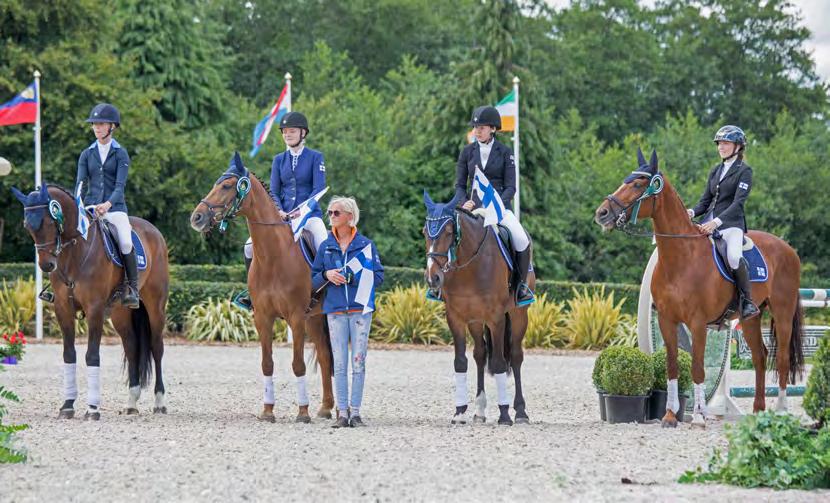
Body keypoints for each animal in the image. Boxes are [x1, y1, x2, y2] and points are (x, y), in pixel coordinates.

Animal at [11, 183, 169, 420]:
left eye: (49, 222)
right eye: (27, 226)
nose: (47, 265)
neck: (74, 253)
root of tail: (153, 230)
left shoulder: (94, 309)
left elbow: (92, 355)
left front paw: (92, 408)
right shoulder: (63, 309)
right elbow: (69, 354)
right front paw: (67, 405)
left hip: (155, 306)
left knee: (156, 348)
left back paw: (159, 402)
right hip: (120, 313)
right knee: (131, 346)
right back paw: (131, 403)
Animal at [190, 156, 334, 424]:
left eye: (227, 186)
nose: (197, 218)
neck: (274, 257)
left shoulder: (295, 318)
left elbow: (298, 364)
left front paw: (303, 412)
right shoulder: (263, 318)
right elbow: (267, 364)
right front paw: (268, 411)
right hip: (314, 317)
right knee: (323, 355)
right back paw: (326, 408)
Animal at [426, 192, 536, 426]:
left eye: (449, 232)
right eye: (424, 232)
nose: (433, 279)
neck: (470, 263)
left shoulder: (496, 318)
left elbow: (499, 363)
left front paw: (504, 415)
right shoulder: (455, 318)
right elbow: (460, 362)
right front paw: (459, 412)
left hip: (518, 315)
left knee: (515, 356)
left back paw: (520, 412)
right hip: (476, 320)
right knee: (479, 354)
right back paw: (479, 411)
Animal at [596, 150, 808, 430]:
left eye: (639, 184)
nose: (602, 213)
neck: (681, 258)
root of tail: (788, 249)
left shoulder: (697, 323)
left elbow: (697, 367)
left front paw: (698, 415)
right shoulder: (667, 319)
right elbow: (672, 366)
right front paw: (670, 415)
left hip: (782, 312)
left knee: (782, 358)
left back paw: (780, 411)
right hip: (751, 317)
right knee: (760, 357)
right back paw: (758, 412)